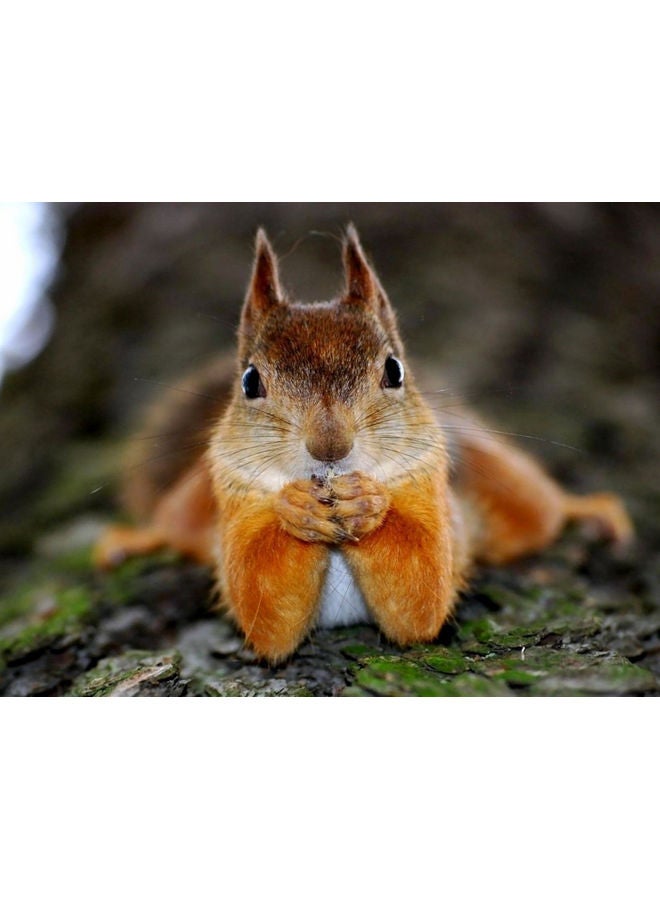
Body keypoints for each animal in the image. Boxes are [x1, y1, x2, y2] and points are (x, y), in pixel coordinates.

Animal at [94, 225, 633, 663]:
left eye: (394, 371)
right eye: (249, 381)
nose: (330, 446)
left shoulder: (430, 491)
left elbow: (422, 593)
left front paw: (368, 503)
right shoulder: (235, 497)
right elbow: (263, 608)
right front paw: (295, 508)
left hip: (500, 481)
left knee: (542, 511)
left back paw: (589, 508)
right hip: (192, 503)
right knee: (173, 526)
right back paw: (133, 540)